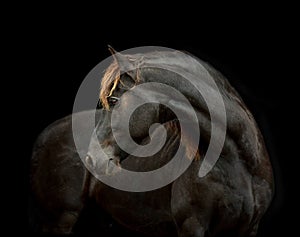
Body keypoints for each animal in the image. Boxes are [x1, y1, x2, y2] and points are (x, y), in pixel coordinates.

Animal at [29, 47, 274, 236]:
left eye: (113, 100)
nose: (91, 159)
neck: (238, 163)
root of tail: (43, 137)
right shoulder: (192, 225)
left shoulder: (249, 229)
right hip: (62, 218)